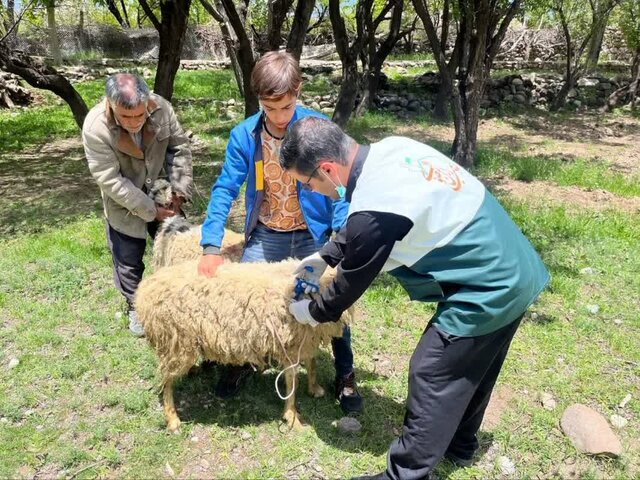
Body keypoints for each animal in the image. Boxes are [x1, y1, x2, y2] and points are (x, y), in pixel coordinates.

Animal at [134, 258, 350, 432]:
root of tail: (145, 291)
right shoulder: (290, 343)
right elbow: (292, 383)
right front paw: (292, 418)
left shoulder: (305, 338)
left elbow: (312, 363)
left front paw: (314, 389)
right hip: (177, 341)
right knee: (166, 382)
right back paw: (172, 419)